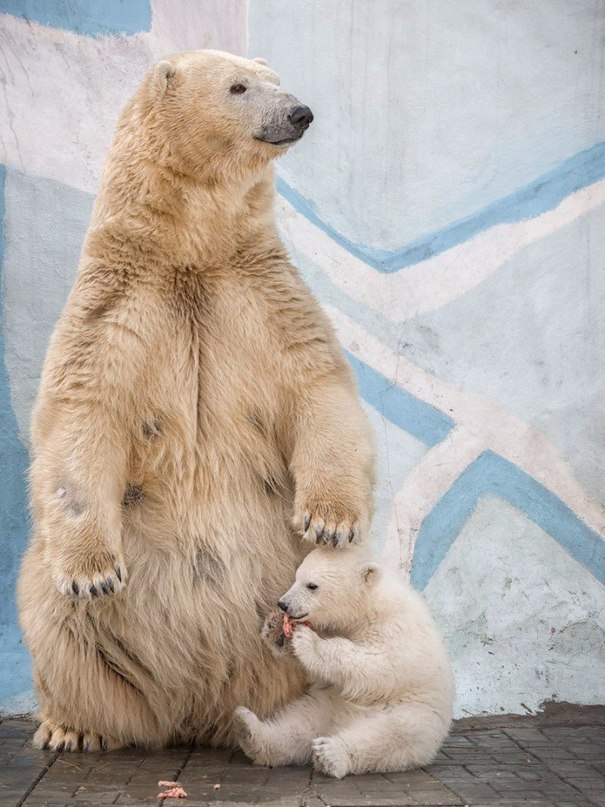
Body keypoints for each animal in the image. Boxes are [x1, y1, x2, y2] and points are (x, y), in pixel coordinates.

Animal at [17, 50, 372, 756]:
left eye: (275, 78)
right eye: (239, 87)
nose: (299, 112)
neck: (191, 253)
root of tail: (195, 708)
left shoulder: (263, 295)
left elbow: (318, 386)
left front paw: (331, 520)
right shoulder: (116, 306)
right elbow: (82, 414)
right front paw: (94, 572)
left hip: (294, 601)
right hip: (76, 621)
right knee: (56, 620)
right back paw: (72, 727)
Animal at [234, 548, 450, 780]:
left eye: (312, 585)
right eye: (296, 577)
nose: (283, 604)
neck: (370, 605)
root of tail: (342, 722)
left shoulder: (396, 630)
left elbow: (377, 666)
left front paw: (308, 641)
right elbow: (322, 675)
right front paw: (277, 631)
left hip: (412, 714)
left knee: (390, 736)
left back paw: (330, 754)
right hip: (325, 705)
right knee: (296, 726)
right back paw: (247, 727)